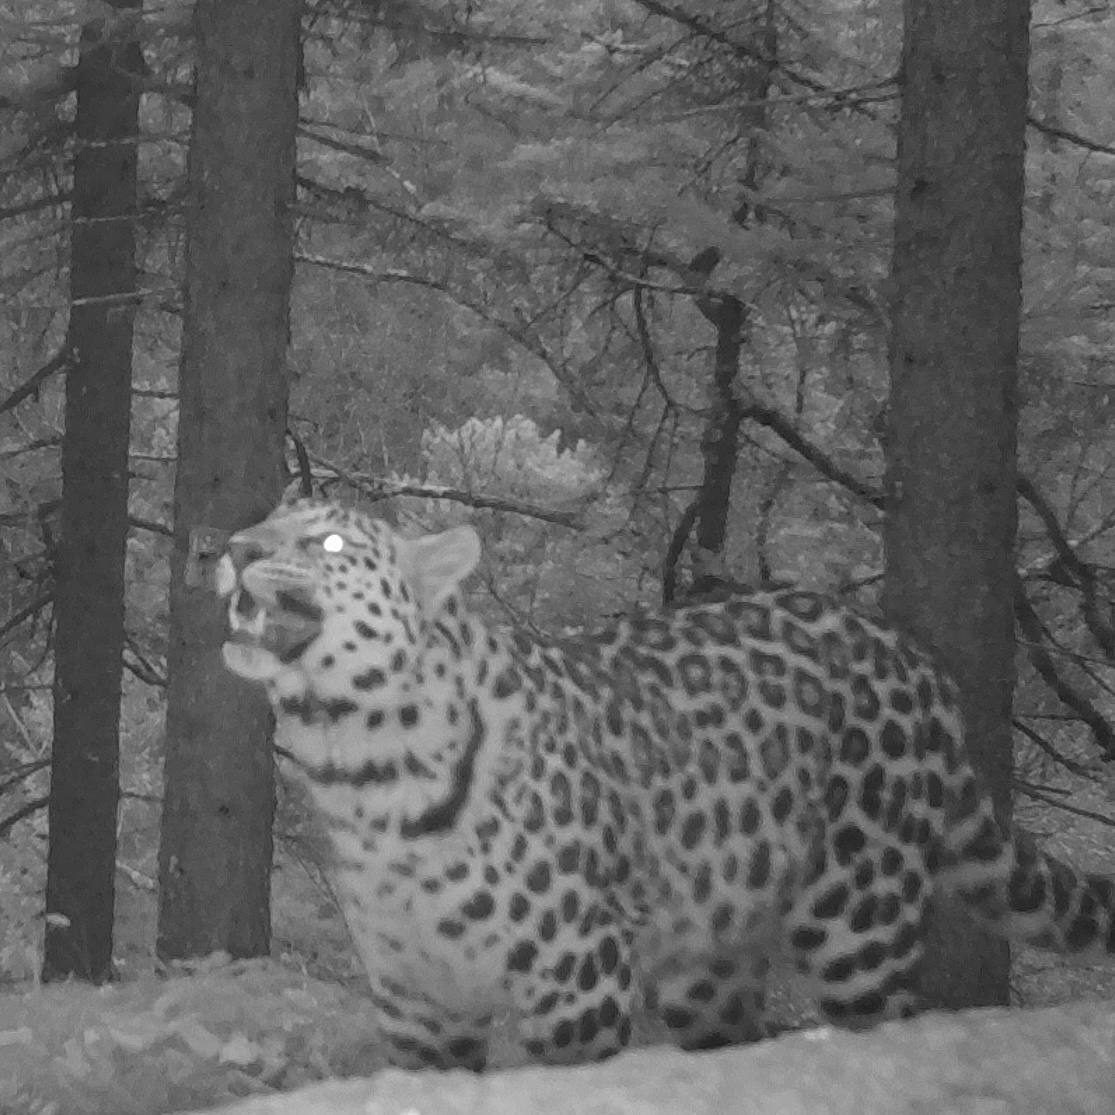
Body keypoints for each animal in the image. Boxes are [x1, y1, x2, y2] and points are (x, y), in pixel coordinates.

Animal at [212, 499, 1110, 1070]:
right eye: (265, 520)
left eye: (329, 543)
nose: (231, 548)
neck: (363, 771)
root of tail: (918, 660)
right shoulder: (417, 1000)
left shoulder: (575, 977)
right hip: (707, 961)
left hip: (859, 923)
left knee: (884, 1018)